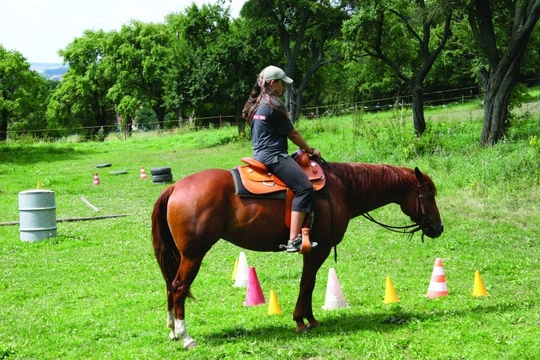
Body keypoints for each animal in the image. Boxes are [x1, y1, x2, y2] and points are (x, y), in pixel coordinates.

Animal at [150, 161, 440, 348]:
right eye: (427, 196)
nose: (439, 228)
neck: (341, 188)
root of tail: (175, 187)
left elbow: (309, 284)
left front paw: (309, 319)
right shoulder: (318, 249)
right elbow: (307, 282)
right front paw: (301, 321)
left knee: (169, 285)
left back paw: (172, 331)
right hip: (193, 255)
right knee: (178, 287)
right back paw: (185, 336)